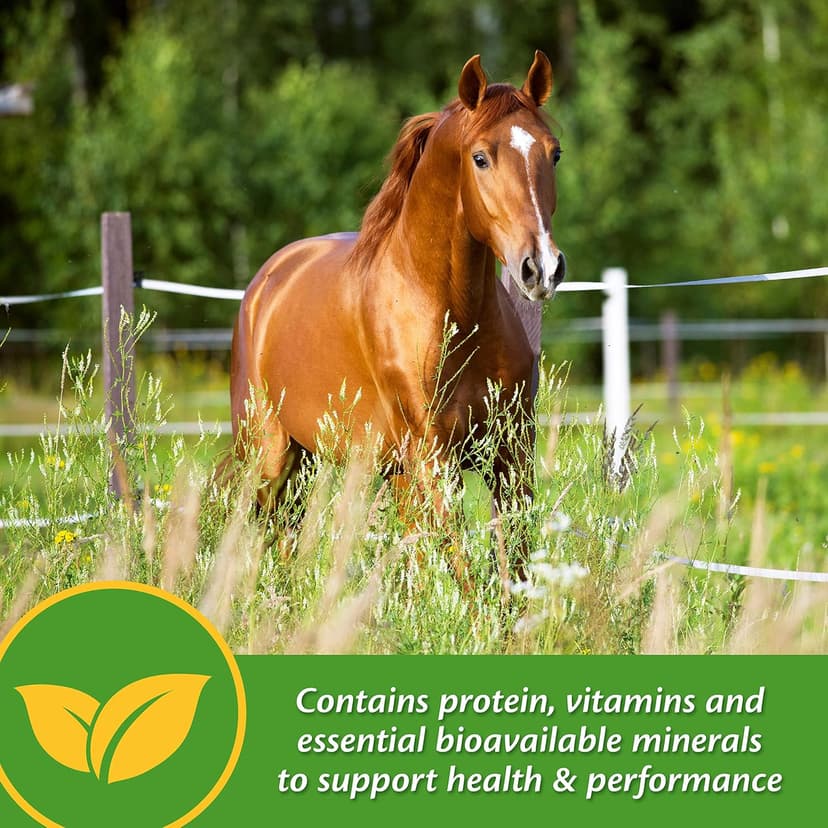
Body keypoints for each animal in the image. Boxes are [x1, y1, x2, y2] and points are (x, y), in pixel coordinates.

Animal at [230, 51, 565, 580]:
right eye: (480, 158)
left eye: (553, 154)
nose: (542, 268)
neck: (452, 315)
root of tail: (267, 281)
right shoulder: (433, 458)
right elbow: (462, 567)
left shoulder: (509, 454)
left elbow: (513, 562)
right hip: (270, 455)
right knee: (270, 535)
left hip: (342, 464)